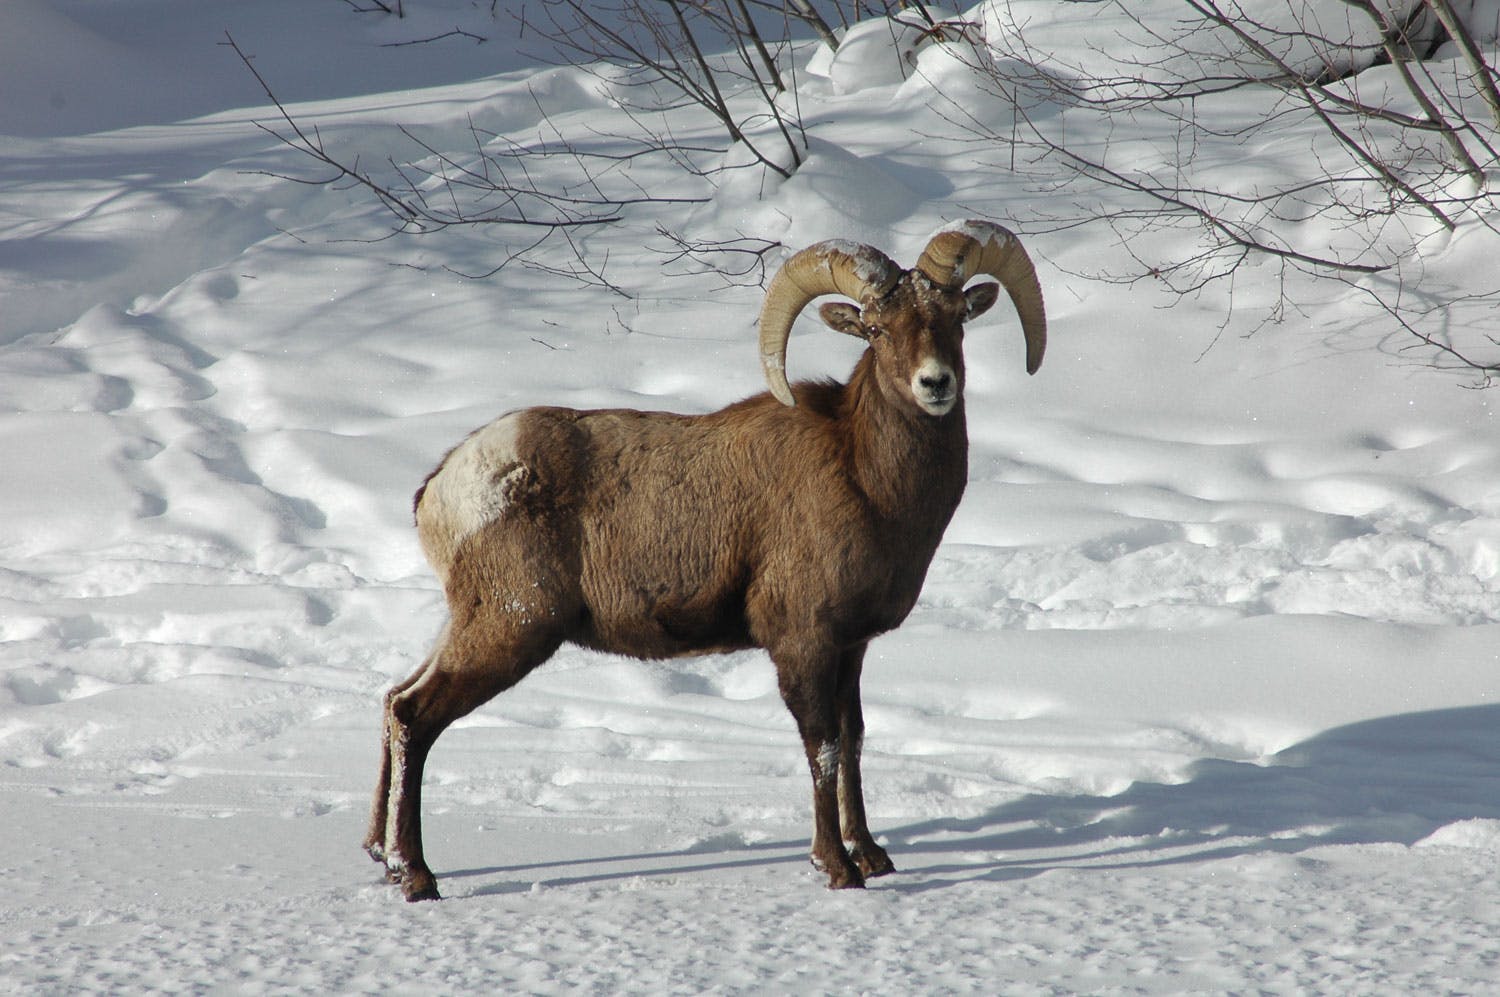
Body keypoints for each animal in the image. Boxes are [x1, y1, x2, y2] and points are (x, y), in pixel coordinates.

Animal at [366, 220, 1044, 899]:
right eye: (877, 329)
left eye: (956, 320)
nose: (936, 384)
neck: (866, 478)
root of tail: (441, 488)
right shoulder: (803, 642)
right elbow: (822, 748)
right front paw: (837, 868)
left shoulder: (850, 647)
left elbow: (852, 742)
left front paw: (874, 856)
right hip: (510, 628)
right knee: (417, 717)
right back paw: (417, 876)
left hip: (468, 625)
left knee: (396, 699)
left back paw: (381, 856)